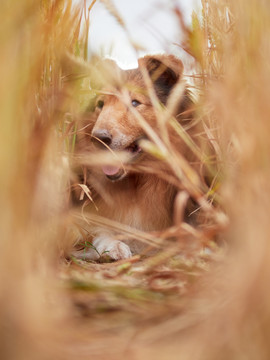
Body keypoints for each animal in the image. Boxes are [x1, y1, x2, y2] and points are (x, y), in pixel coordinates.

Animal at [70, 54, 206, 262]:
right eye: (101, 105)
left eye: (134, 103)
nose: (98, 138)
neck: (138, 183)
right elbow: (97, 229)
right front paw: (113, 246)